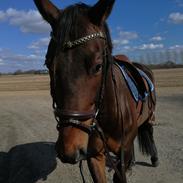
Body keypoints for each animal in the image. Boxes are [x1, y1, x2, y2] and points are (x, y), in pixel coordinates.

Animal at [33, 0, 159, 182]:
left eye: (98, 66)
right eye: (48, 64)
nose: (69, 148)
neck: (108, 114)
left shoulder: (122, 154)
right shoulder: (94, 156)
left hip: (149, 117)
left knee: (149, 130)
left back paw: (154, 159)